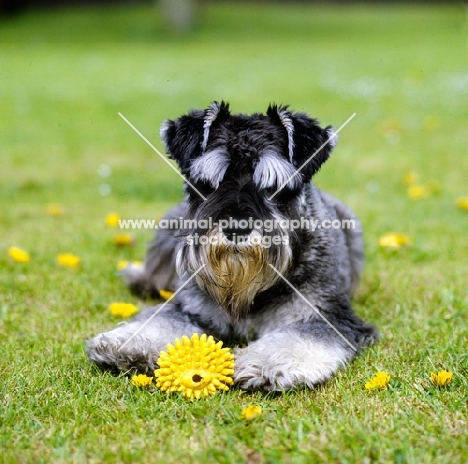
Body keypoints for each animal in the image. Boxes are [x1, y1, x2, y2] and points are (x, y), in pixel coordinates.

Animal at [88, 102, 378, 392]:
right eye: (208, 183)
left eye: (274, 186)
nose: (236, 228)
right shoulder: (190, 308)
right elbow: (162, 320)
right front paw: (127, 345)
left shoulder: (327, 314)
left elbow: (300, 337)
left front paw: (266, 364)